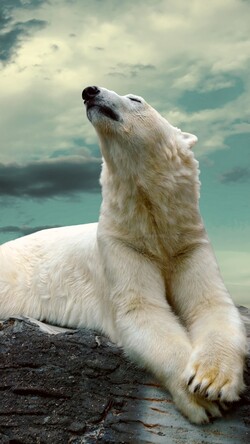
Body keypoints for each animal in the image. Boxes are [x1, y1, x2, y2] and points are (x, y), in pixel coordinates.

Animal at [0, 86, 246, 424]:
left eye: (136, 99)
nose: (89, 91)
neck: (153, 225)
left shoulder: (188, 244)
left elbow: (211, 304)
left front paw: (212, 381)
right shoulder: (122, 245)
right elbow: (142, 311)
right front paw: (199, 399)